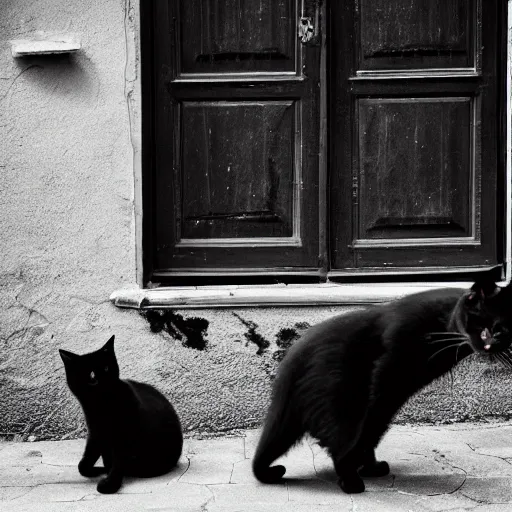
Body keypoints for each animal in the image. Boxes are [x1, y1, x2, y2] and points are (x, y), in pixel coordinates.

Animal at [59, 334, 183, 494]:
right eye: (91, 375)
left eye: (106, 368)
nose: (103, 382)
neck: (101, 407)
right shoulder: (96, 432)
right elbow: (85, 461)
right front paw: (96, 470)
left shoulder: (123, 436)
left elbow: (118, 462)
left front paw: (110, 484)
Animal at [253, 278, 512, 494]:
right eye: (484, 329)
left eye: (503, 333)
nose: (490, 346)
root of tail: (293, 358)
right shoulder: (388, 372)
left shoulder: (394, 391)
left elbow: (370, 432)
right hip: (344, 402)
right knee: (341, 444)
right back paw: (351, 480)